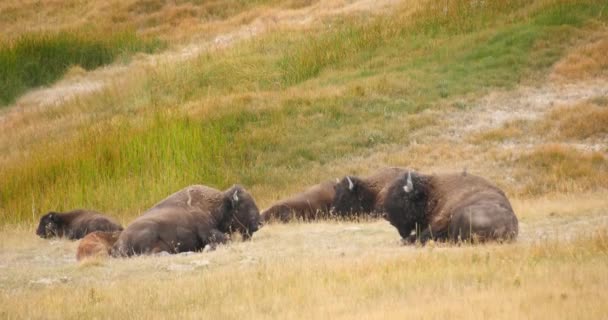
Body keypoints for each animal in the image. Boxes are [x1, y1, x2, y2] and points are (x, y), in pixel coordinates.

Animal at [111, 184, 262, 256]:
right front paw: (208, 248)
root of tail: (117, 243)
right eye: (244, 205)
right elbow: (225, 239)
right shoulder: (207, 231)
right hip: (149, 231)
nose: (259, 223)